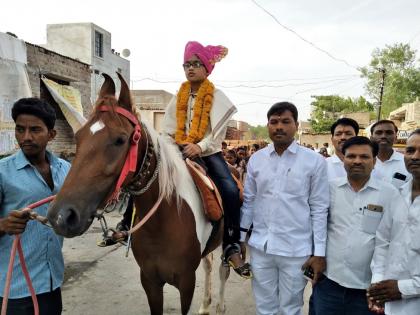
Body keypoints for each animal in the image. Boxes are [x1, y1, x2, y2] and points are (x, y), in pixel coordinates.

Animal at [47, 73, 231, 314]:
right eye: (78, 137)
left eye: (120, 139)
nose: (62, 216)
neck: (164, 221)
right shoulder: (150, 281)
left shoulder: (186, 282)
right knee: (209, 264)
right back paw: (205, 305)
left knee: (222, 270)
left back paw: (219, 306)